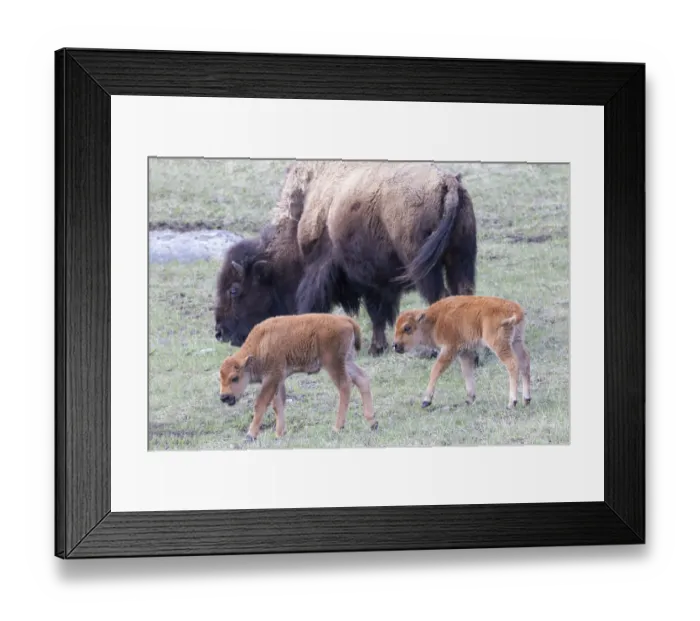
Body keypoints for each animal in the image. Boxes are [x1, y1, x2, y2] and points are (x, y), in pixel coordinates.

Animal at [214, 160, 477, 357]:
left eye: (234, 290)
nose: (220, 332)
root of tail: (448, 183)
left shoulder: (331, 273)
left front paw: (374, 348)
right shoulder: (375, 282)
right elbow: (378, 313)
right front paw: (377, 347)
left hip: (425, 268)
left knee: (439, 297)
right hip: (461, 260)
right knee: (463, 294)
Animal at [218, 313, 378, 441]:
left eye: (234, 378)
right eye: (220, 378)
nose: (224, 397)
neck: (261, 343)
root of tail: (346, 320)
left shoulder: (271, 378)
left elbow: (261, 403)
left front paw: (250, 435)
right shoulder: (279, 379)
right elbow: (278, 404)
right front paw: (279, 434)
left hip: (333, 364)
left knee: (345, 386)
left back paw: (338, 427)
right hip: (347, 361)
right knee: (362, 379)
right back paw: (372, 422)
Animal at [392, 295, 531, 410]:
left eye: (407, 327)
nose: (395, 345)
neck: (435, 319)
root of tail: (515, 309)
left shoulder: (449, 349)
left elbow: (436, 370)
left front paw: (426, 401)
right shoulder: (464, 352)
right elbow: (467, 371)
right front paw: (469, 399)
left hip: (500, 345)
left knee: (512, 364)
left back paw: (511, 403)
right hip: (516, 342)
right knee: (524, 363)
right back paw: (526, 399)